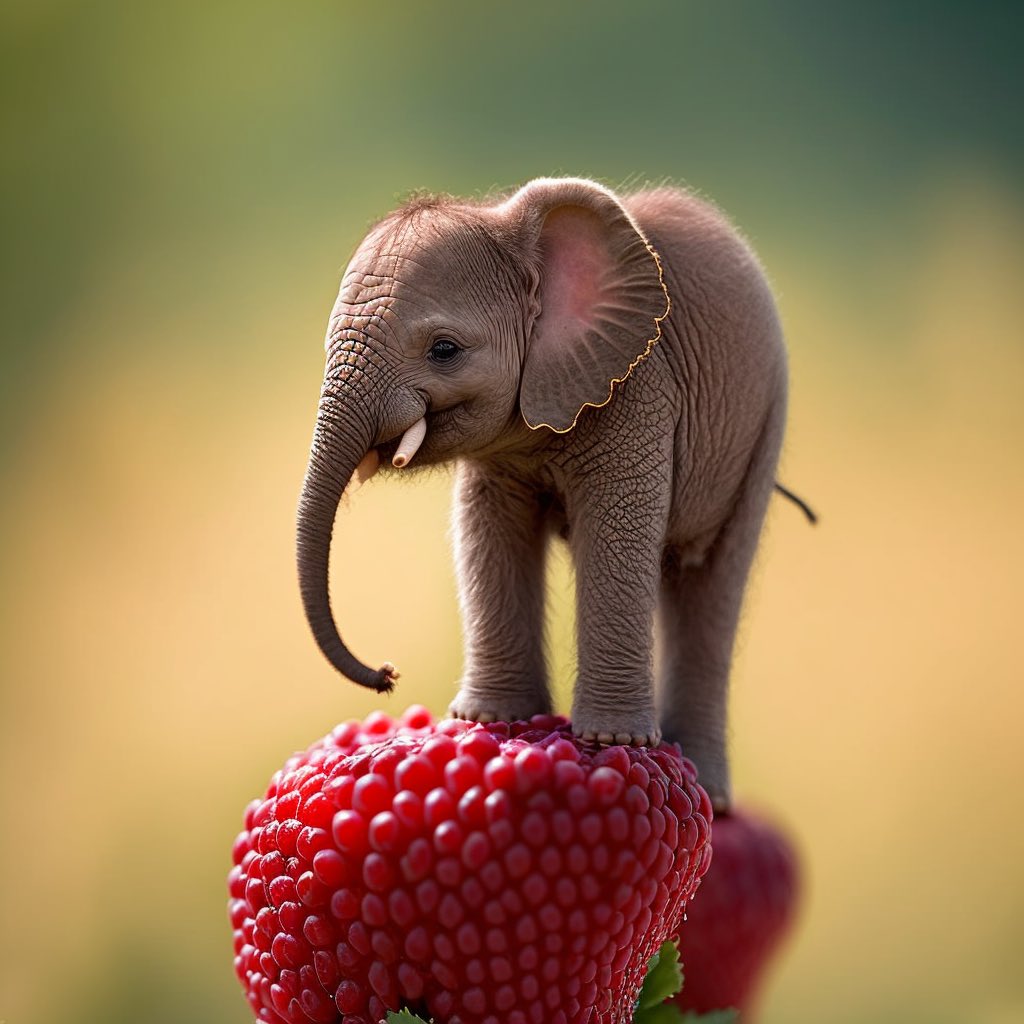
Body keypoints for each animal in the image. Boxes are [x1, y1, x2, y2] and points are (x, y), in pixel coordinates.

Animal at [296, 177, 788, 811]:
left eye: (444, 350)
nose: (387, 674)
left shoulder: (640, 386)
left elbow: (616, 532)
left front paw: (612, 743)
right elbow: (489, 530)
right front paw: (490, 722)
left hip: (763, 426)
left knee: (714, 578)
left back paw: (708, 793)